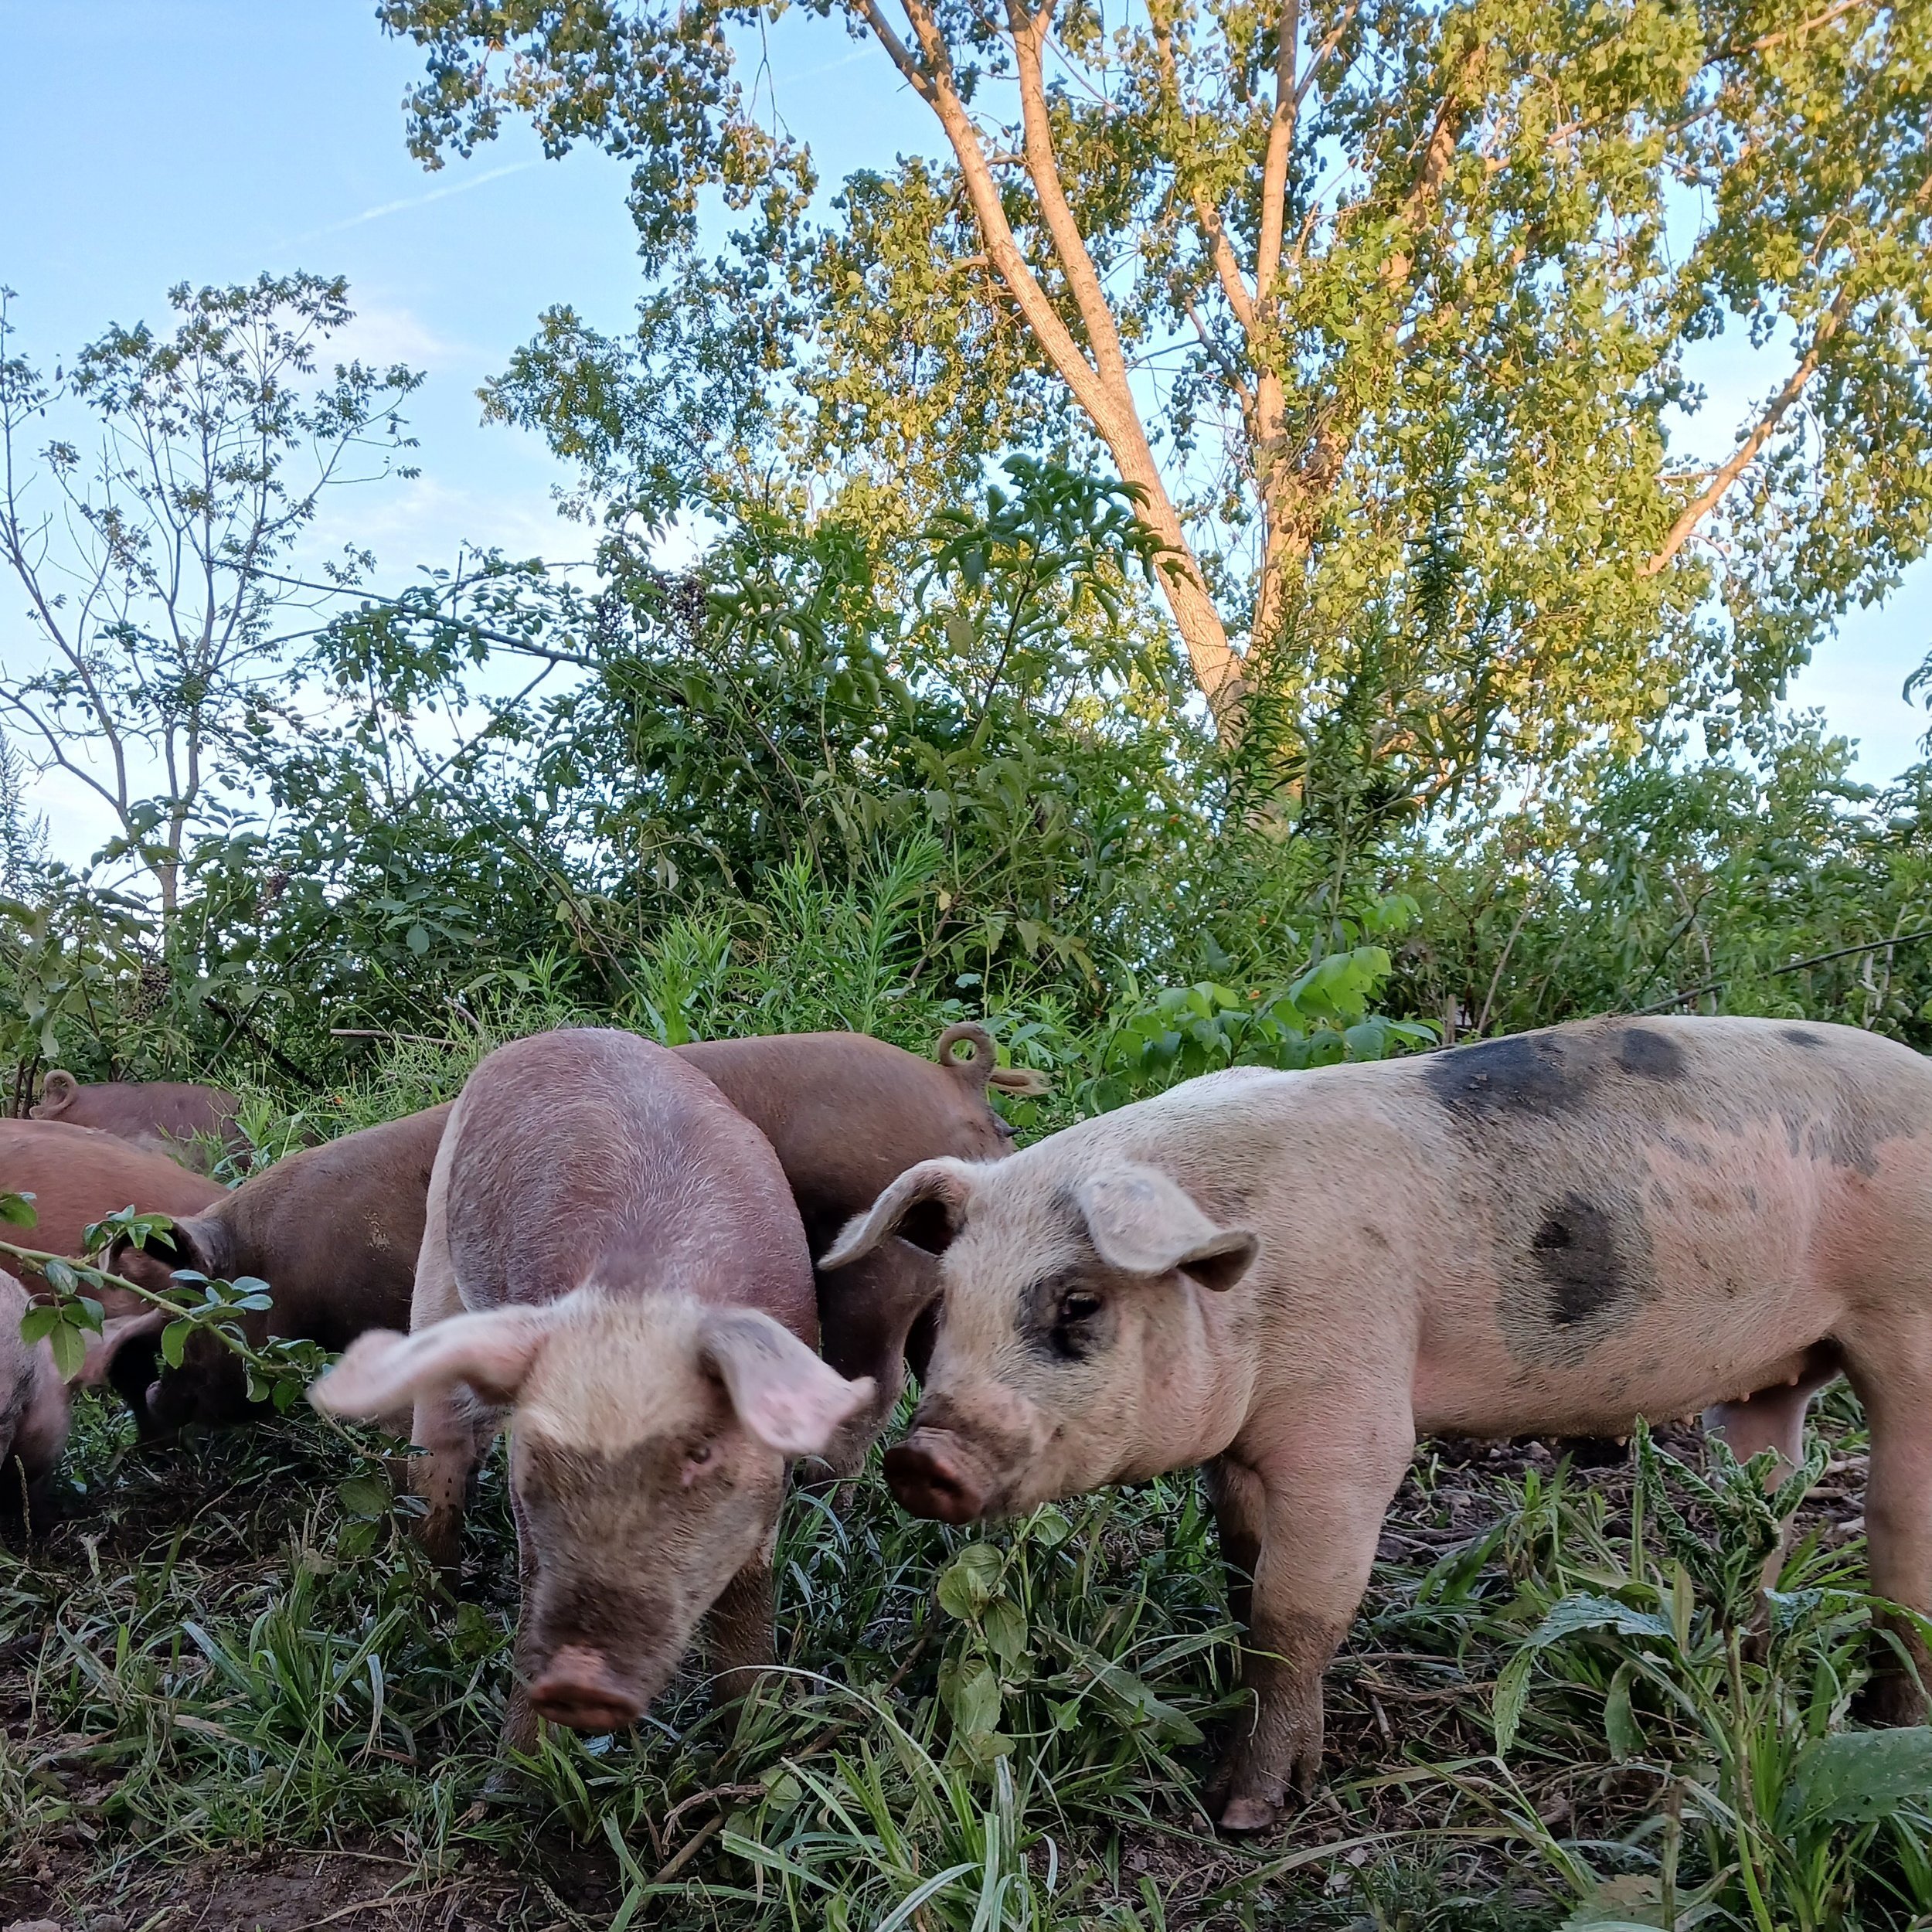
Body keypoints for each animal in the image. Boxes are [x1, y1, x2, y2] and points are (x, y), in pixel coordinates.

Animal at [310, 1027, 873, 1750]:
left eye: (698, 1454)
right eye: (539, 1459)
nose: (578, 1682)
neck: (642, 1294)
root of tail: (548, 1035)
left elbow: (747, 1605)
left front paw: (757, 1733)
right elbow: (530, 1588)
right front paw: (518, 1766)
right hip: (439, 1269)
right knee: (438, 1456)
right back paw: (434, 1609)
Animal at [822, 1015, 1932, 1832]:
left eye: (1079, 1304)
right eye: (940, 1309)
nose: (923, 1458)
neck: (1250, 1289)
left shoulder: (1352, 1427)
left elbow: (1293, 1615)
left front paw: (1242, 1815)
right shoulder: (1241, 1449)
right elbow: (1244, 1577)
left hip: (1906, 1325)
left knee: (1896, 1526)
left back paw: (1889, 1718)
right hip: (1768, 1386)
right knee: (1767, 1502)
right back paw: (1744, 1657)